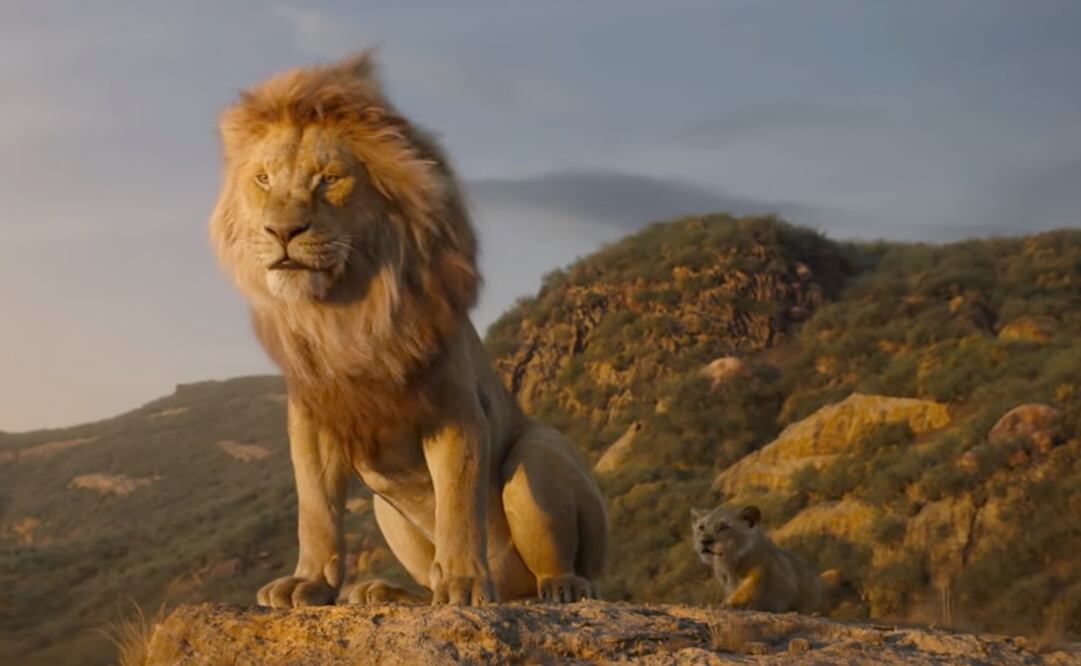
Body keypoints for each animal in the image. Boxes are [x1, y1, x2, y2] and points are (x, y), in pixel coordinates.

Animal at [208, 51, 609, 607]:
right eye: (264, 179)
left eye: (328, 179)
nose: (281, 231)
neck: (345, 313)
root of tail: (512, 591)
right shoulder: (313, 420)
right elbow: (316, 510)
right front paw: (308, 583)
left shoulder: (454, 410)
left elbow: (458, 504)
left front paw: (463, 585)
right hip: (387, 510)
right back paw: (389, 593)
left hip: (539, 455)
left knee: (563, 561)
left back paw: (559, 587)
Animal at [691, 505, 820, 613]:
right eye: (701, 527)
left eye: (724, 527)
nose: (705, 541)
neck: (729, 566)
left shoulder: (766, 576)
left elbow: (747, 591)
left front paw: (727, 604)